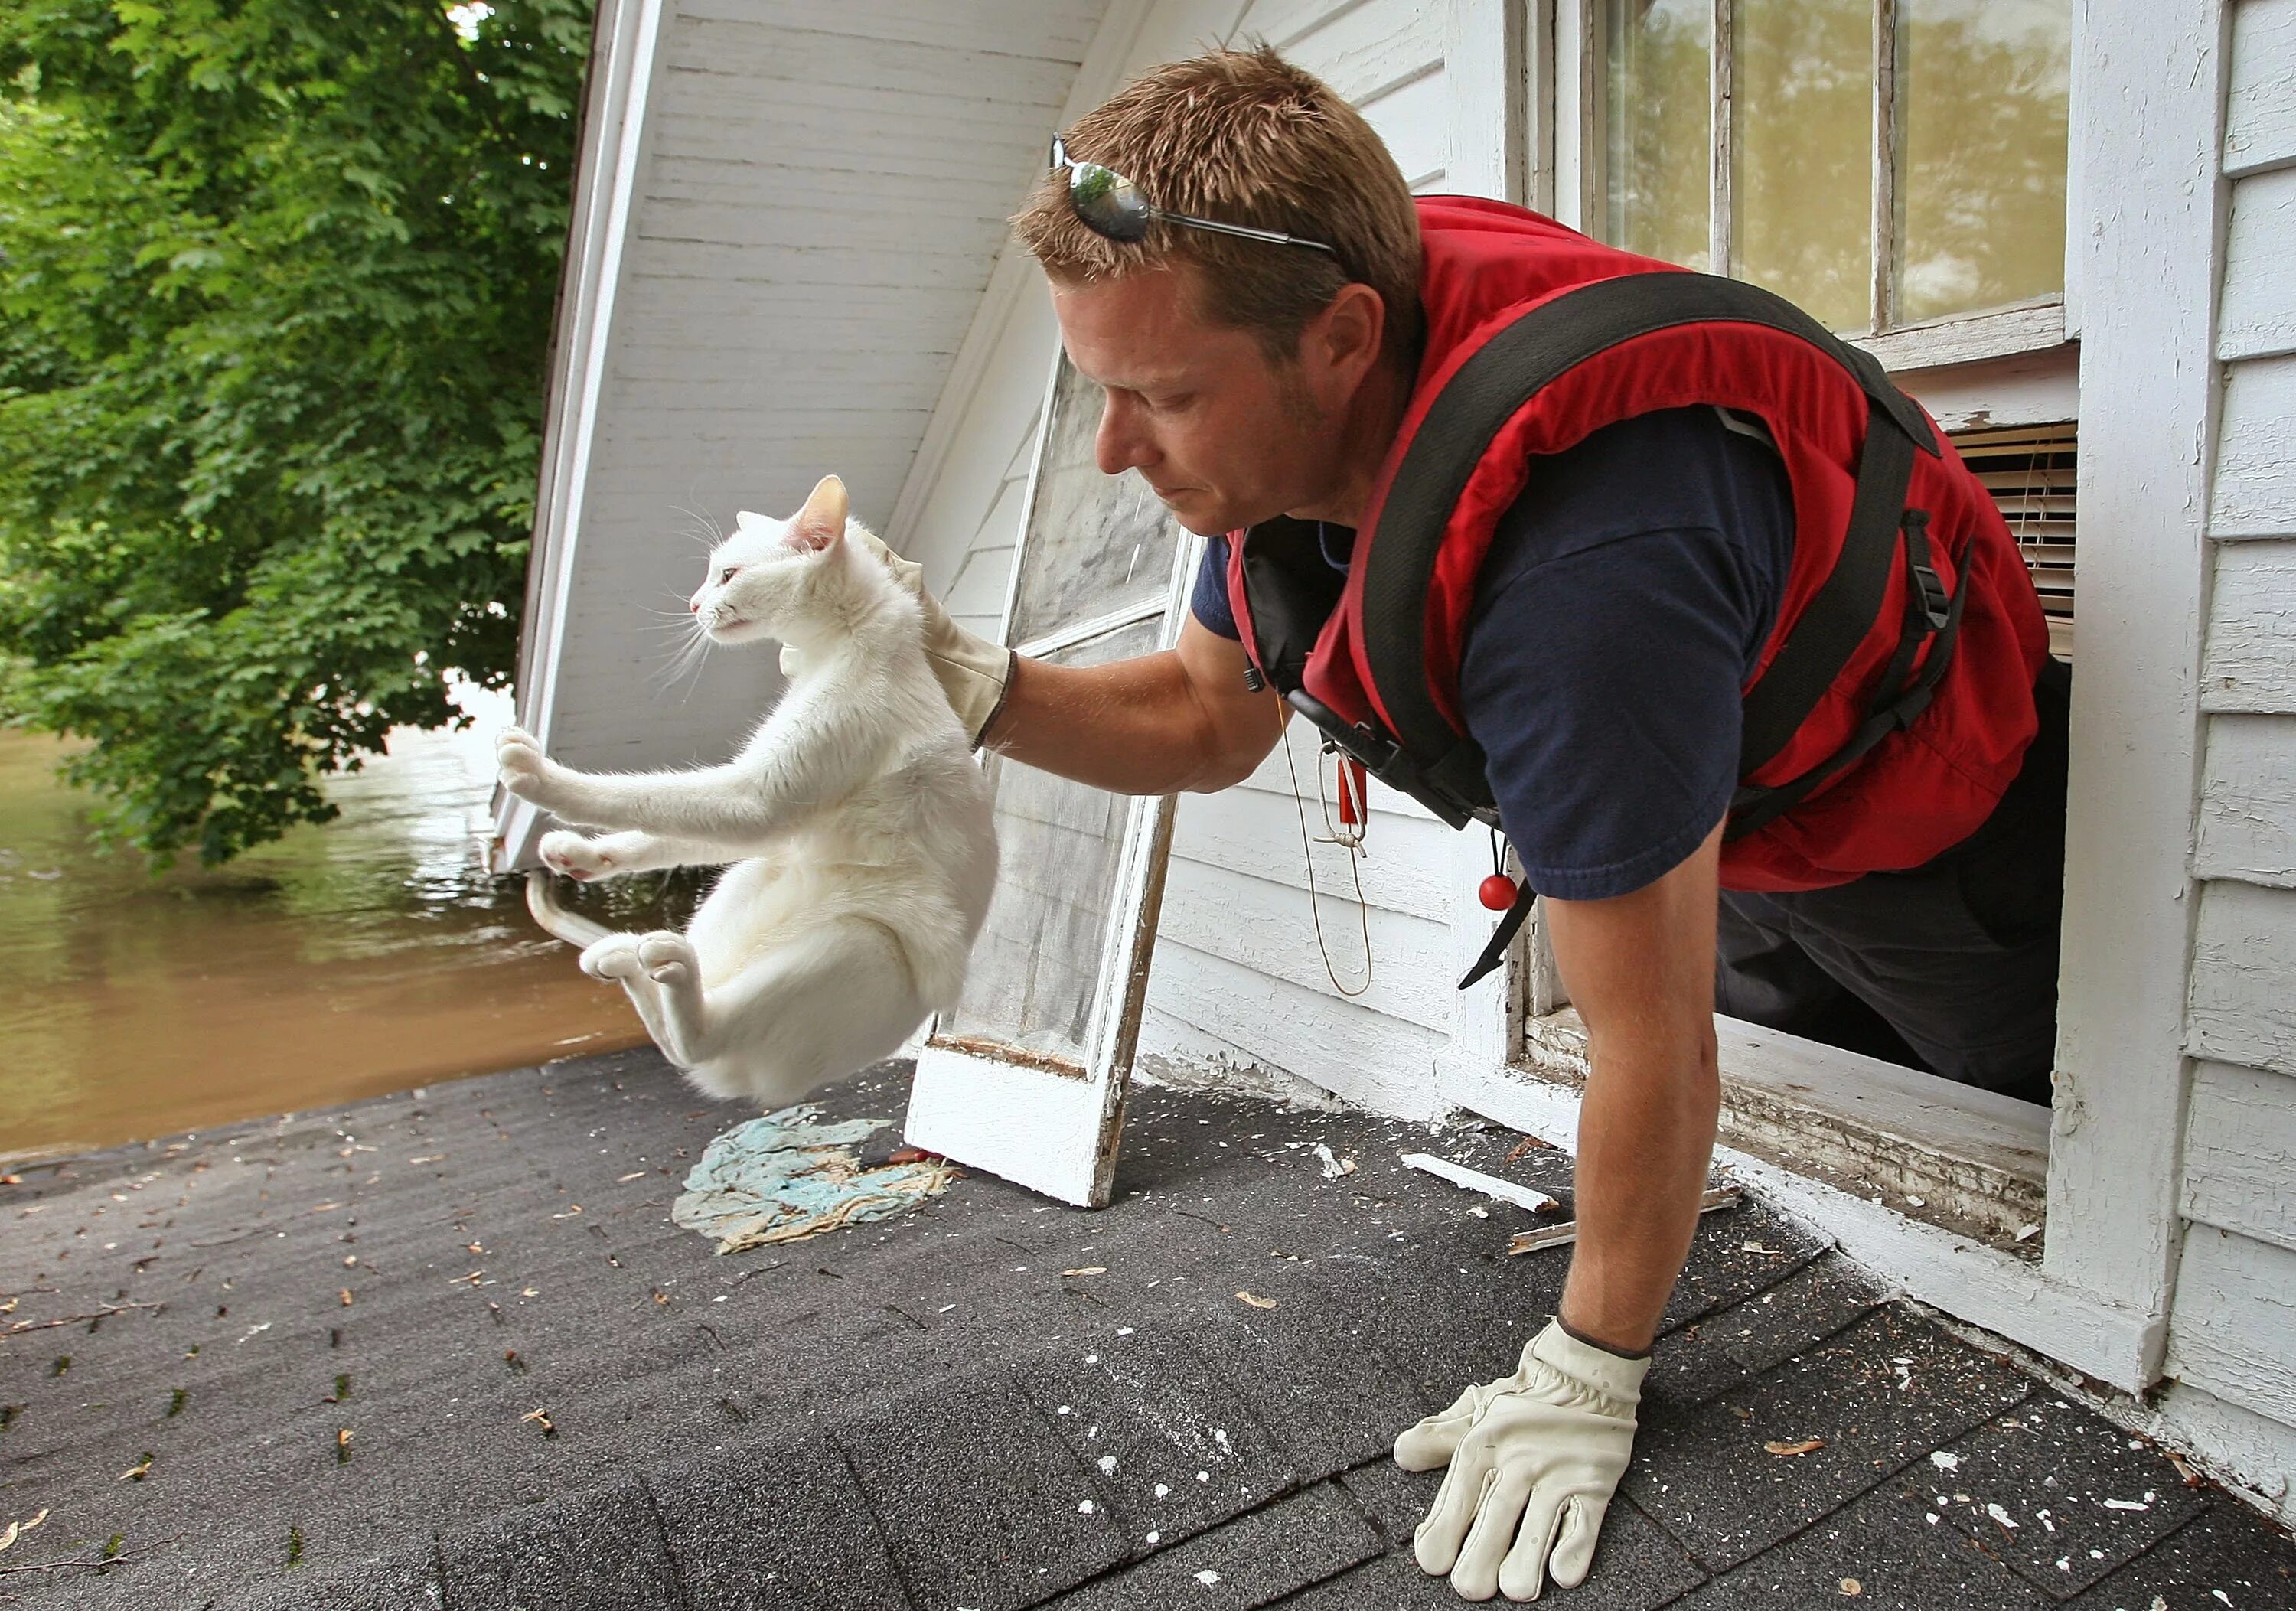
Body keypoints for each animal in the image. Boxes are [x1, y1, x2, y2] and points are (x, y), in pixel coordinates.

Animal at [498, 472, 1001, 1115]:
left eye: (729, 574)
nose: (692, 604)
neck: (841, 647)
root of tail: (740, 1079)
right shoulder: (762, 813)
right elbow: (660, 826)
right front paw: (582, 854)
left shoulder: (759, 796)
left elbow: (641, 792)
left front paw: (540, 776)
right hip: (754, 873)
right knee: (685, 1035)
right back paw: (632, 960)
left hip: (862, 942)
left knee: (699, 1042)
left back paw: (668, 969)